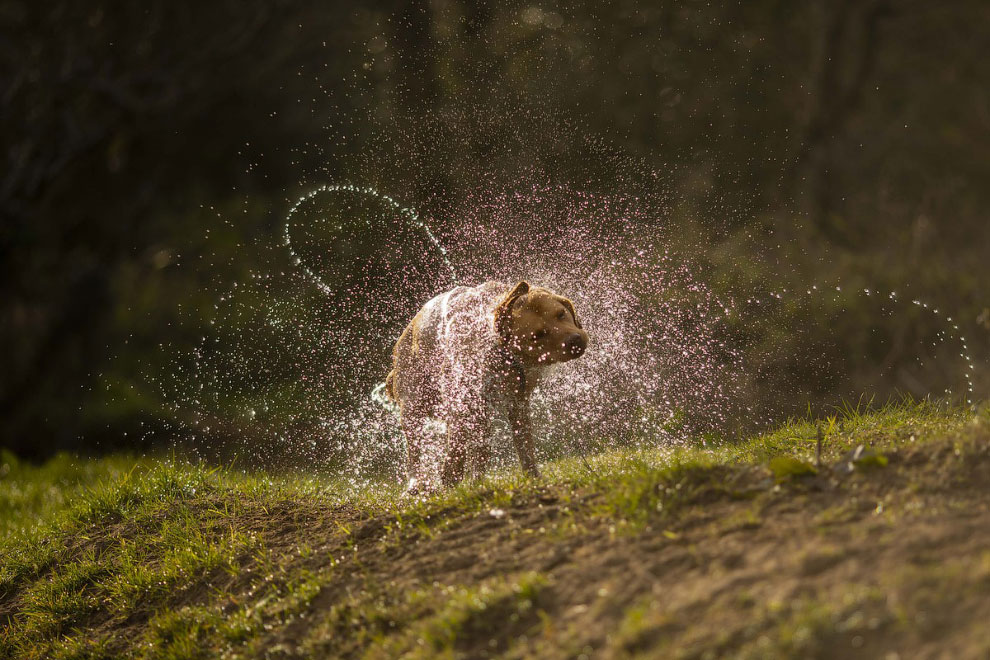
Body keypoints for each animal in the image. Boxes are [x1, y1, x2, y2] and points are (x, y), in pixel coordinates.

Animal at [386, 282, 588, 492]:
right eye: (537, 335)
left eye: (561, 314)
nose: (575, 341)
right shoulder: (462, 397)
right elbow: (459, 447)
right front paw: (450, 478)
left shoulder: (517, 402)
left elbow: (524, 445)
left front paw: (532, 477)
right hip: (414, 405)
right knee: (415, 450)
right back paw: (417, 484)